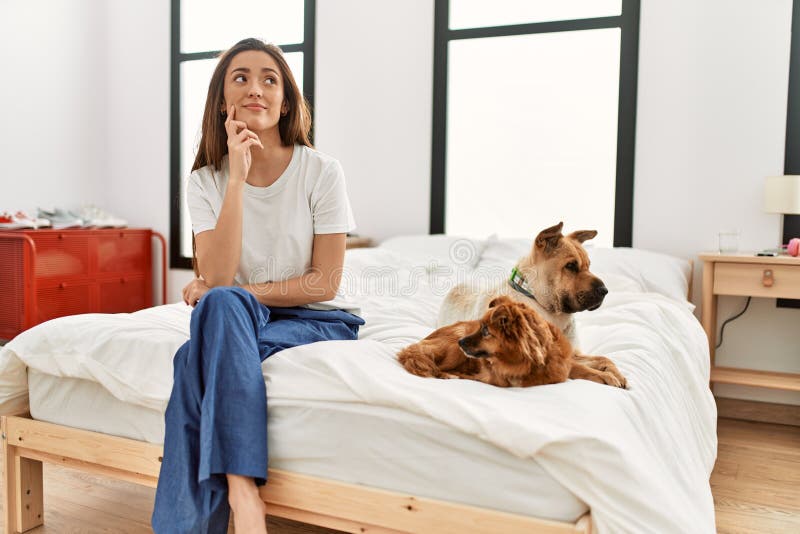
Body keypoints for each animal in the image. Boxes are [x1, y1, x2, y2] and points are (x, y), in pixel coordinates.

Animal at [438, 222, 624, 390]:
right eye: (571, 266)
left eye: (589, 265)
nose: (605, 291)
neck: (548, 310)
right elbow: (581, 368)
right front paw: (605, 377)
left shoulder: (573, 353)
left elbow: (604, 359)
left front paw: (617, 374)